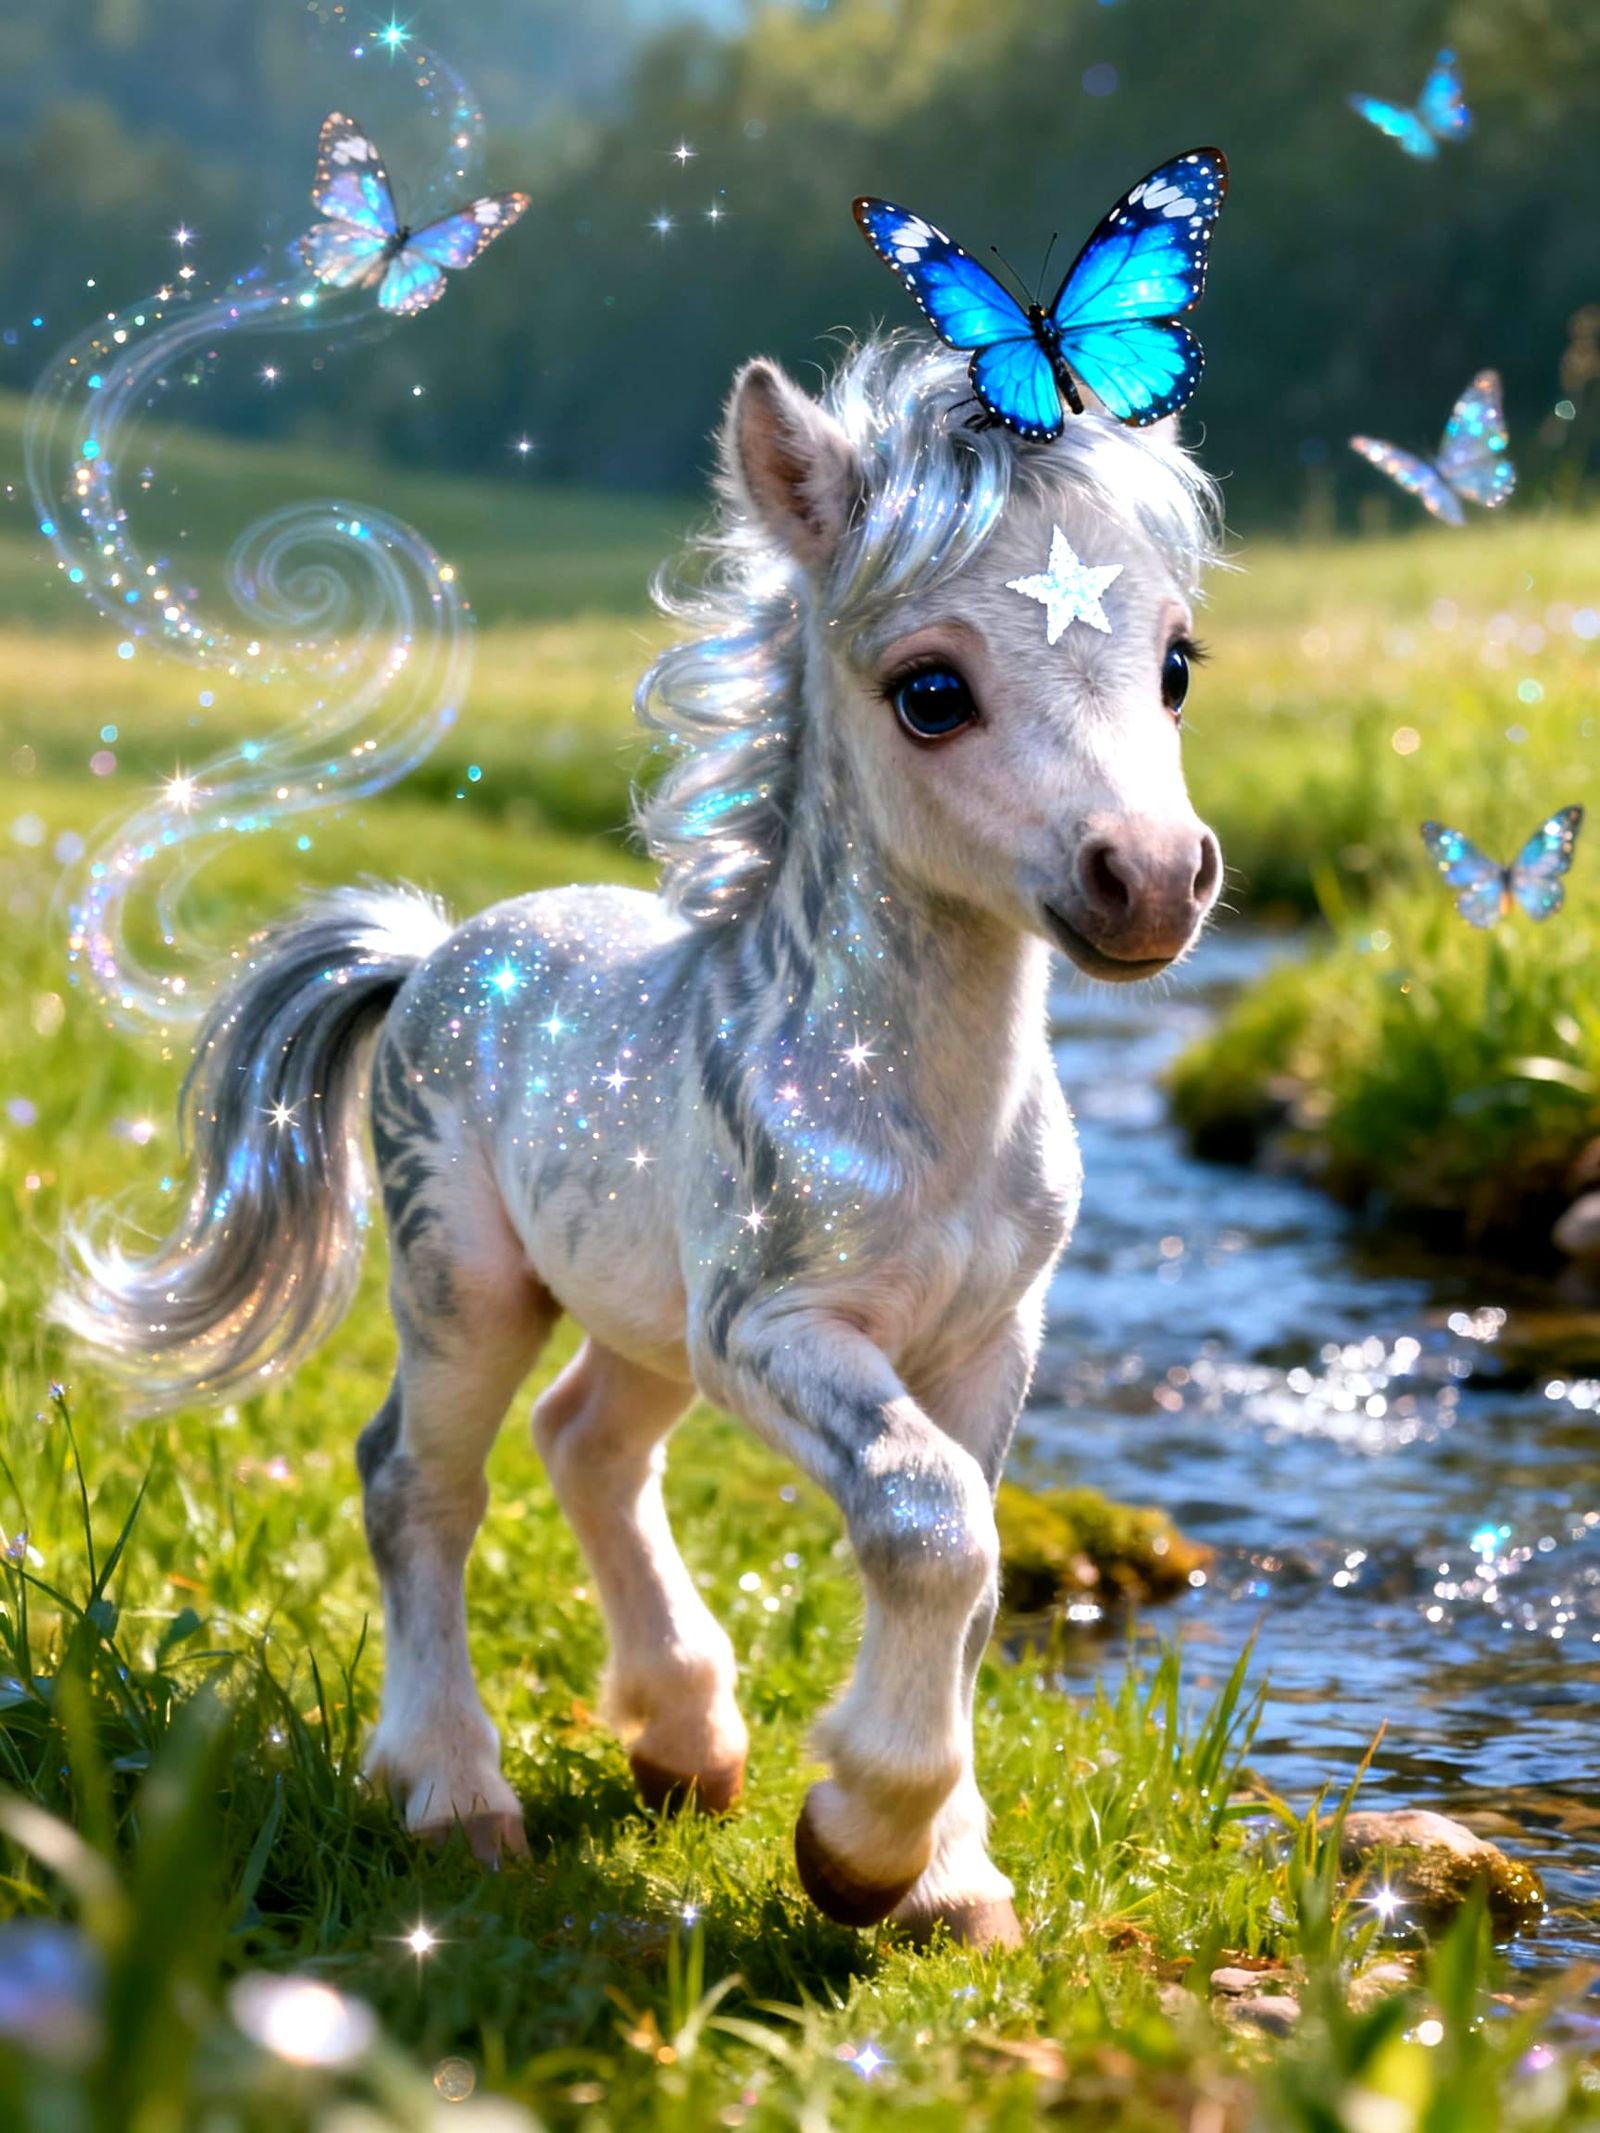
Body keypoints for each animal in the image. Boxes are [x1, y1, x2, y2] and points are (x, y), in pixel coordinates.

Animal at [60, 333, 1223, 1951]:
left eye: (1175, 663)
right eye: (930, 691)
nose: (1153, 880)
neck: (913, 1116)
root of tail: (429, 952)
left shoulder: (992, 1332)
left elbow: (978, 1564)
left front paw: (950, 1880)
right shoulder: (770, 1326)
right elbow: (929, 1517)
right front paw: (861, 1847)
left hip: (639, 1311)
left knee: (587, 1443)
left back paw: (682, 1737)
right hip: (470, 1281)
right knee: (415, 1480)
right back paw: (454, 1793)